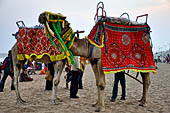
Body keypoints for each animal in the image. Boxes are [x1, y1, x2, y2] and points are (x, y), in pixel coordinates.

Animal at [11, 10, 153, 112]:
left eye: (58, 17)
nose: (41, 15)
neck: (88, 45)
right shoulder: (93, 61)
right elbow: (97, 83)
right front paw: (96, 104)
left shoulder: (99, 60)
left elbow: (101, 84)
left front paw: (101, 108)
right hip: (18, 59)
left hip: (144, 61)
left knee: (146, 79)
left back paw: (143, 102)